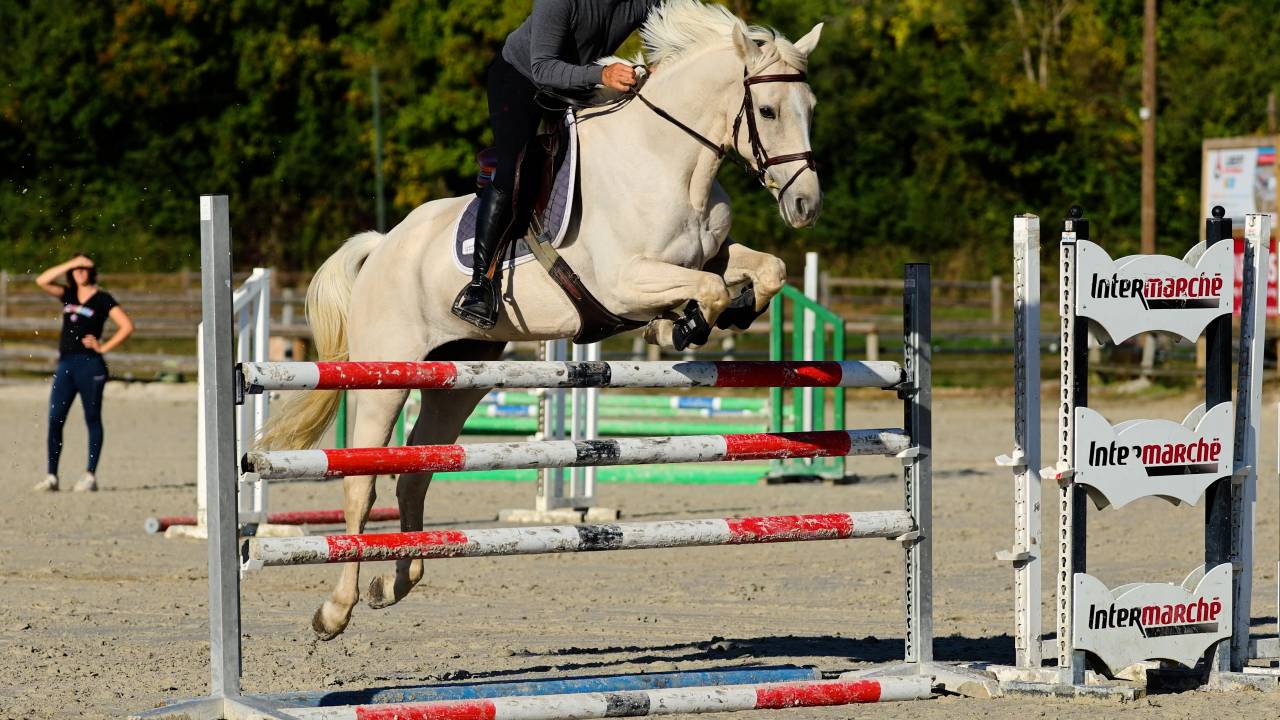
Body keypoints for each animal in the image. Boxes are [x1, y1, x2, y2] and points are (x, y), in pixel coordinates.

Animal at [258, 0, 824, 640]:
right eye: (769, 109)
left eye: (810, 109)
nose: (806, 206)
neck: (670, 163)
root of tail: (383, 246)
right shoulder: (625, 281)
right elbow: (702, 288)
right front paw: (678, 325)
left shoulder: (708, 253)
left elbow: (766, 269)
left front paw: (730, 310)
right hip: (386, 374)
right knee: (362, 480)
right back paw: (336, 609)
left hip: (457, 379)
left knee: (416, 470)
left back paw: (395, 583)